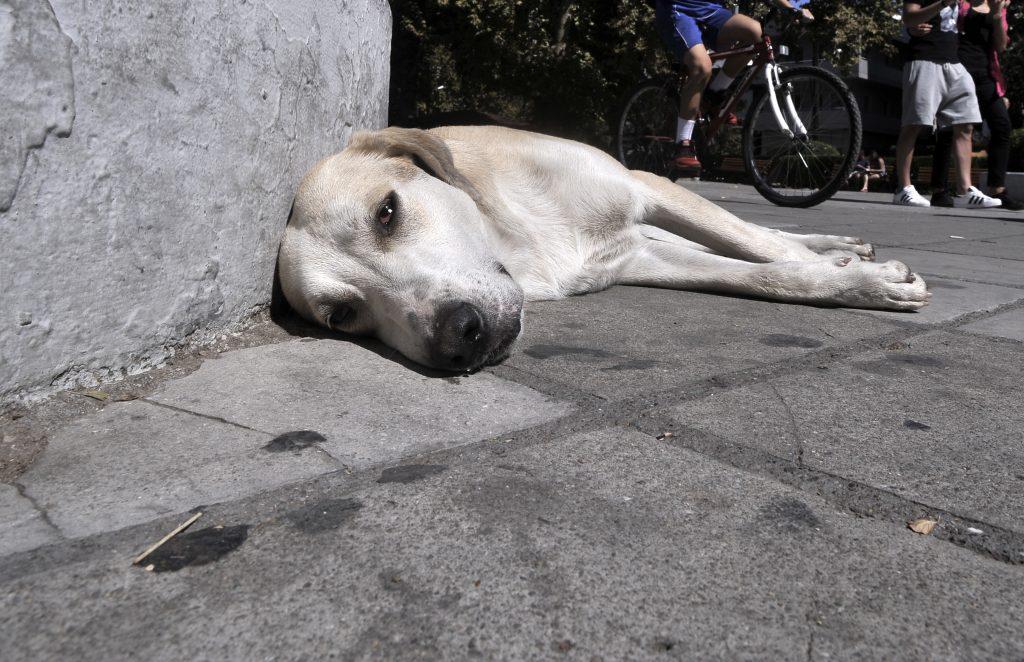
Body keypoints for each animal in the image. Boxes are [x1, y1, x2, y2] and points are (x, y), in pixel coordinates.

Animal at [278, 126, 929, 373]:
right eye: (343, 316)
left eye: (386, 212)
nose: (459, 337)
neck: (519, 240)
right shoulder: (641, 259)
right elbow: (761, 273)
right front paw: (848, 278)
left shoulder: (647, 185)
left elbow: (757, 245)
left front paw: (863, 277)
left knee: (759, 230)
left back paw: (839, 243)